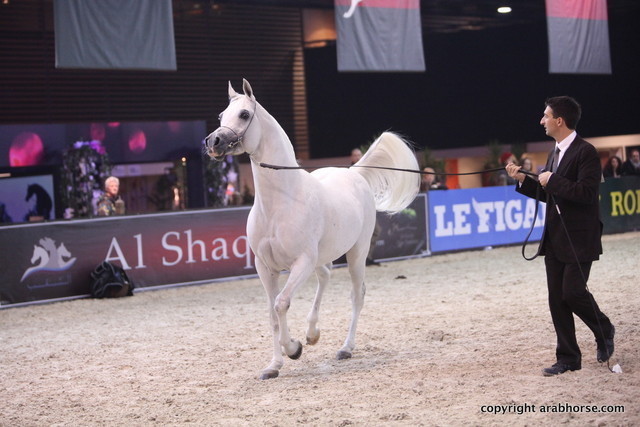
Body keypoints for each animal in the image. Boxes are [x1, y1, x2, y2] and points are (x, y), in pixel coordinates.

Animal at [204, 79, 420, 379]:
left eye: (245, 114)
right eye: (221, 116)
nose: (213, 142)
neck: (280, 204)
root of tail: (354, 172)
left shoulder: (302, 262)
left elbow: (281, 303)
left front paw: (293, 349)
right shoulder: (265, 267)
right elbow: (272, 313)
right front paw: (274, 365)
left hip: (357, 253)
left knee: (357, 295)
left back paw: (345, 348)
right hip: (323, 256)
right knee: (326, 276)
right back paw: (312, 333)